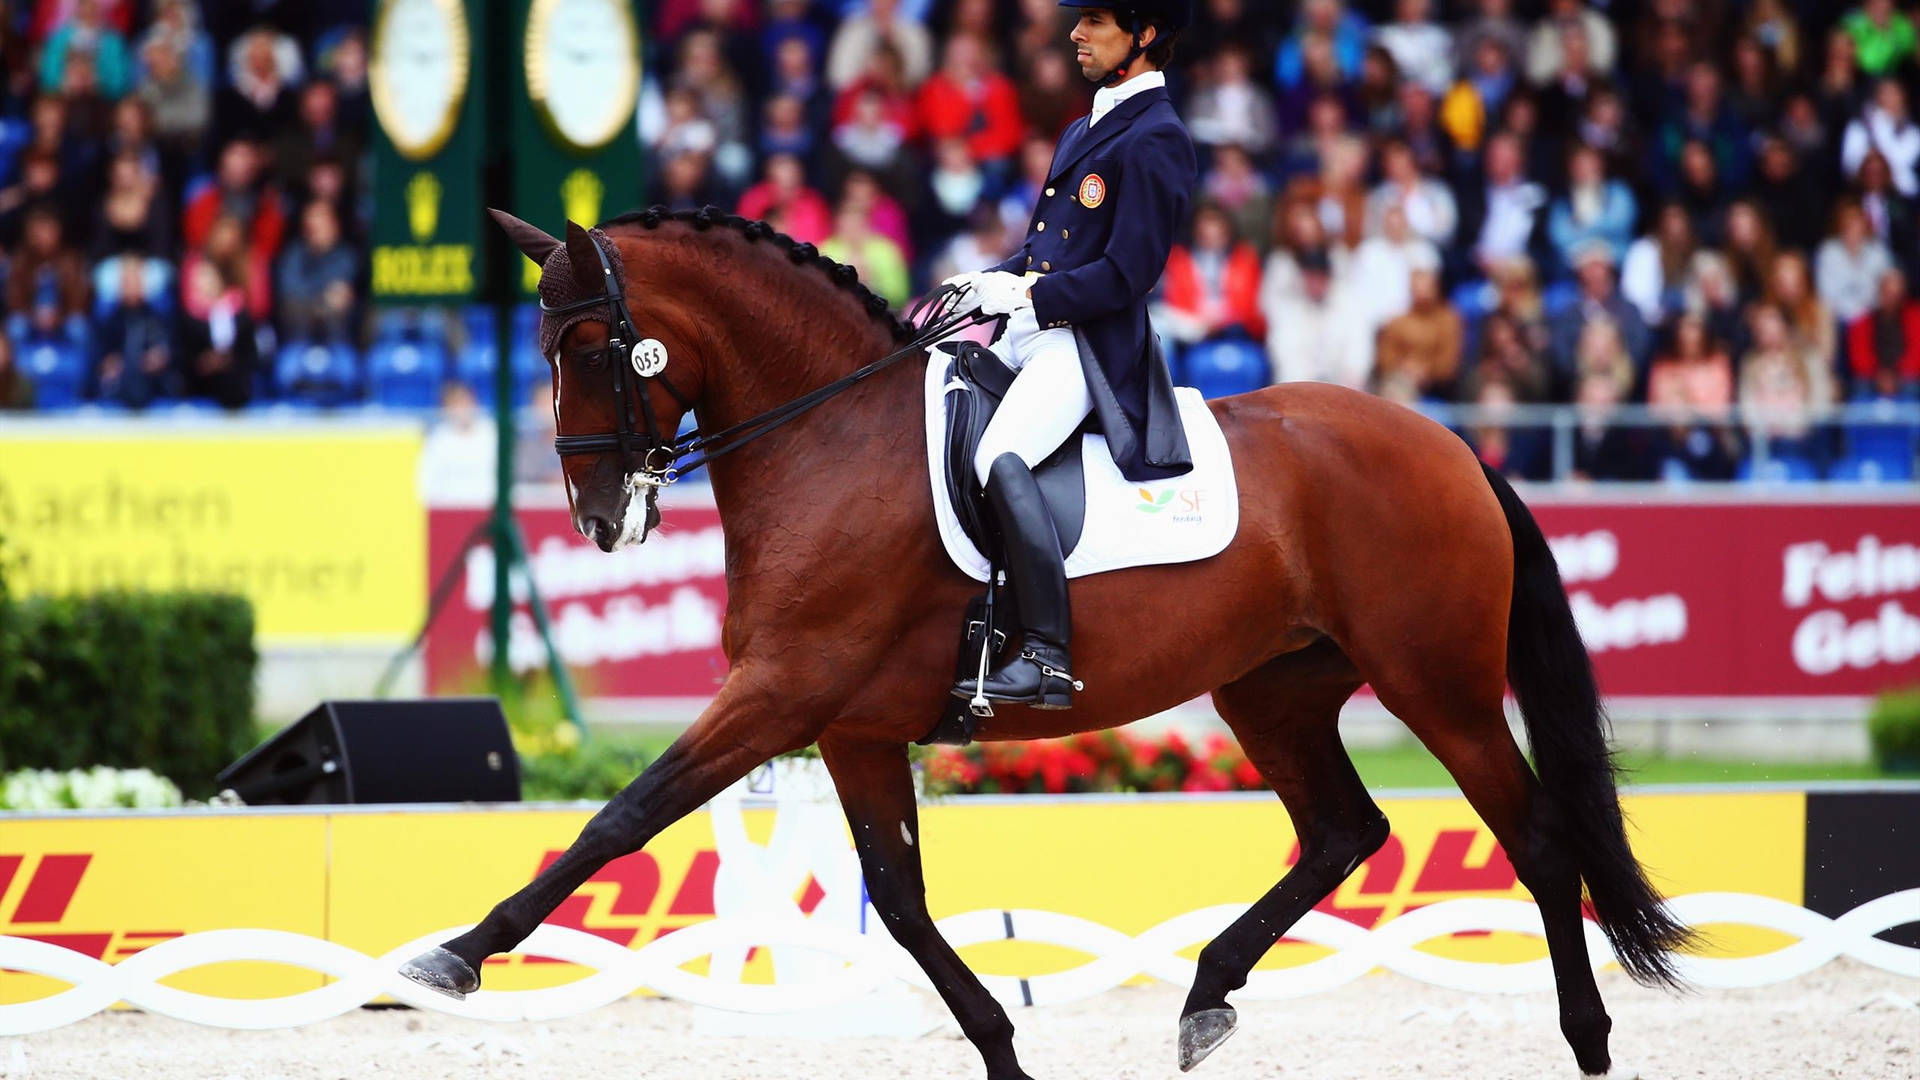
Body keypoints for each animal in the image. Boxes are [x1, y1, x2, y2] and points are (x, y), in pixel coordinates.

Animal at [397, 205, 1689, 1068]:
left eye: (589, 350)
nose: (597, 517)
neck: (829, 440)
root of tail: (1451, 444)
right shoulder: (853, 728)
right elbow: (900, 903)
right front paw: (1002, 1050)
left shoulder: (780, 694)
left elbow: (621, 817)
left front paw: (453, 955)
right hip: (1271, 689)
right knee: (1343, 829)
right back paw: (1206, 994)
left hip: (1438, 683)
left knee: (1537, 841)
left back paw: (1587, 1041)